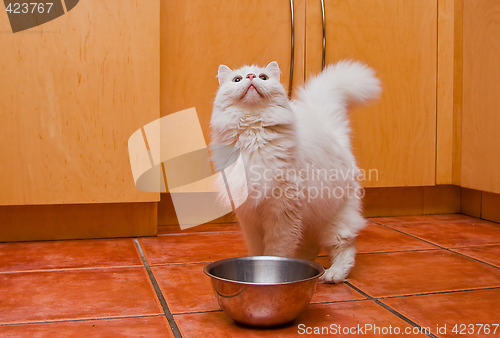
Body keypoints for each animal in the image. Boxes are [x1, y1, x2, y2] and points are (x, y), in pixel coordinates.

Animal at [210, 60, 378, 282]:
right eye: (237, 79)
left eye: (263, 77)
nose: (251, 78)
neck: (253, 136)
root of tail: (335, 137)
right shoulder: (250, 217)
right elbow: (258, 250)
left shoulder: (282, 213)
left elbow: (275, 252)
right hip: (310, 223)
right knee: (311, 246)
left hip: (334, 221)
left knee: (345, 247)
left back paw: (333, 274)